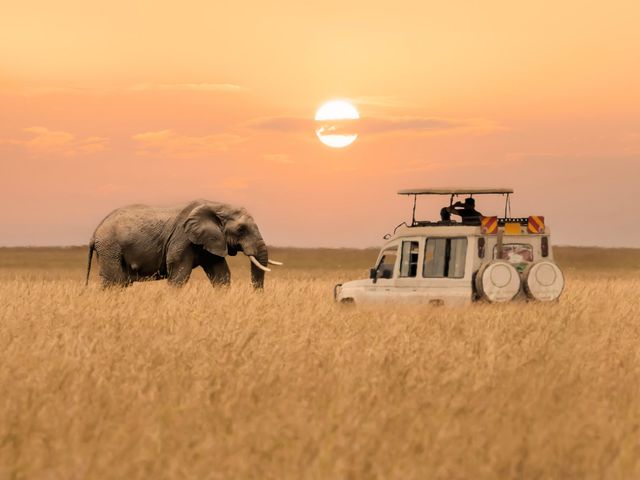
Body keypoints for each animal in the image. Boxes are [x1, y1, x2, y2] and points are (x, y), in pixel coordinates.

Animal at [85, 199, 281, 288]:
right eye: (241, 229)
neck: (215, 205)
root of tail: (95, 232)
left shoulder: (211, 242)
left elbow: (221, 275)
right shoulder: (182, 239)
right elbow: (179, 275)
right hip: (110, 248)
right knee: (114, 283)